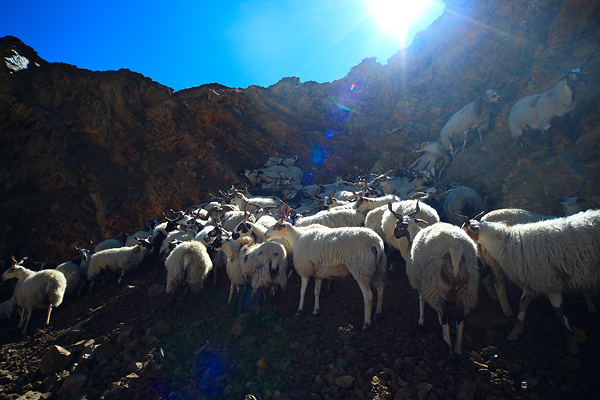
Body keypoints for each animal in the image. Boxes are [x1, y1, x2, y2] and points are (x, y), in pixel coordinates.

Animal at [396, 209, 480, 356]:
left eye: (398, 224)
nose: (395, 235)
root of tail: (456, 249)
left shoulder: (419, 280)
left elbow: (421, 300)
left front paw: (421, 323)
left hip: (435, 281)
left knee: (446, 317)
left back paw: (448, 349)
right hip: (467, 284)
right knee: (460, 318)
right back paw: (457, 350)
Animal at [454, 206, 600, 354]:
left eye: (465, 230)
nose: (458, 239)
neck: (509, 241)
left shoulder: (544, 281)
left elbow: (552, 309)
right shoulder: (539, 280)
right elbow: (525, 304)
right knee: (496, 284)